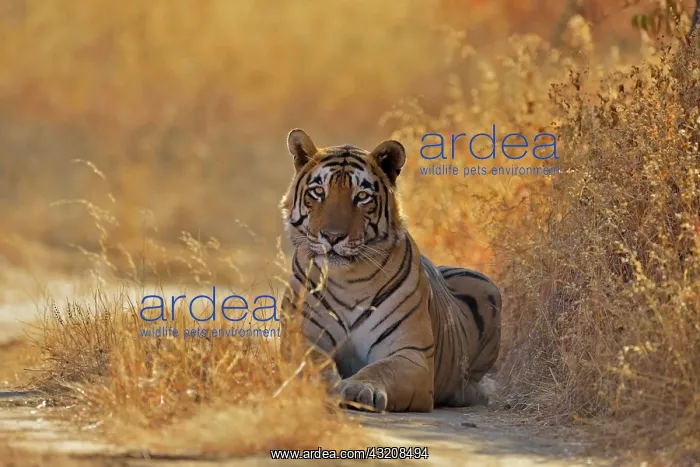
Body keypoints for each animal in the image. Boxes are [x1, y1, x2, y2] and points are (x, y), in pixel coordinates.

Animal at [279, 128, 502, 413]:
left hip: (487, 286)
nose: (332, 236)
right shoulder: (301, 342)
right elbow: (315, 368)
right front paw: (324, 389)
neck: (348, 279)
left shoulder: (411, 353)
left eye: (362, 196)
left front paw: (358, 388)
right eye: (318, 191)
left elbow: (382, 369)